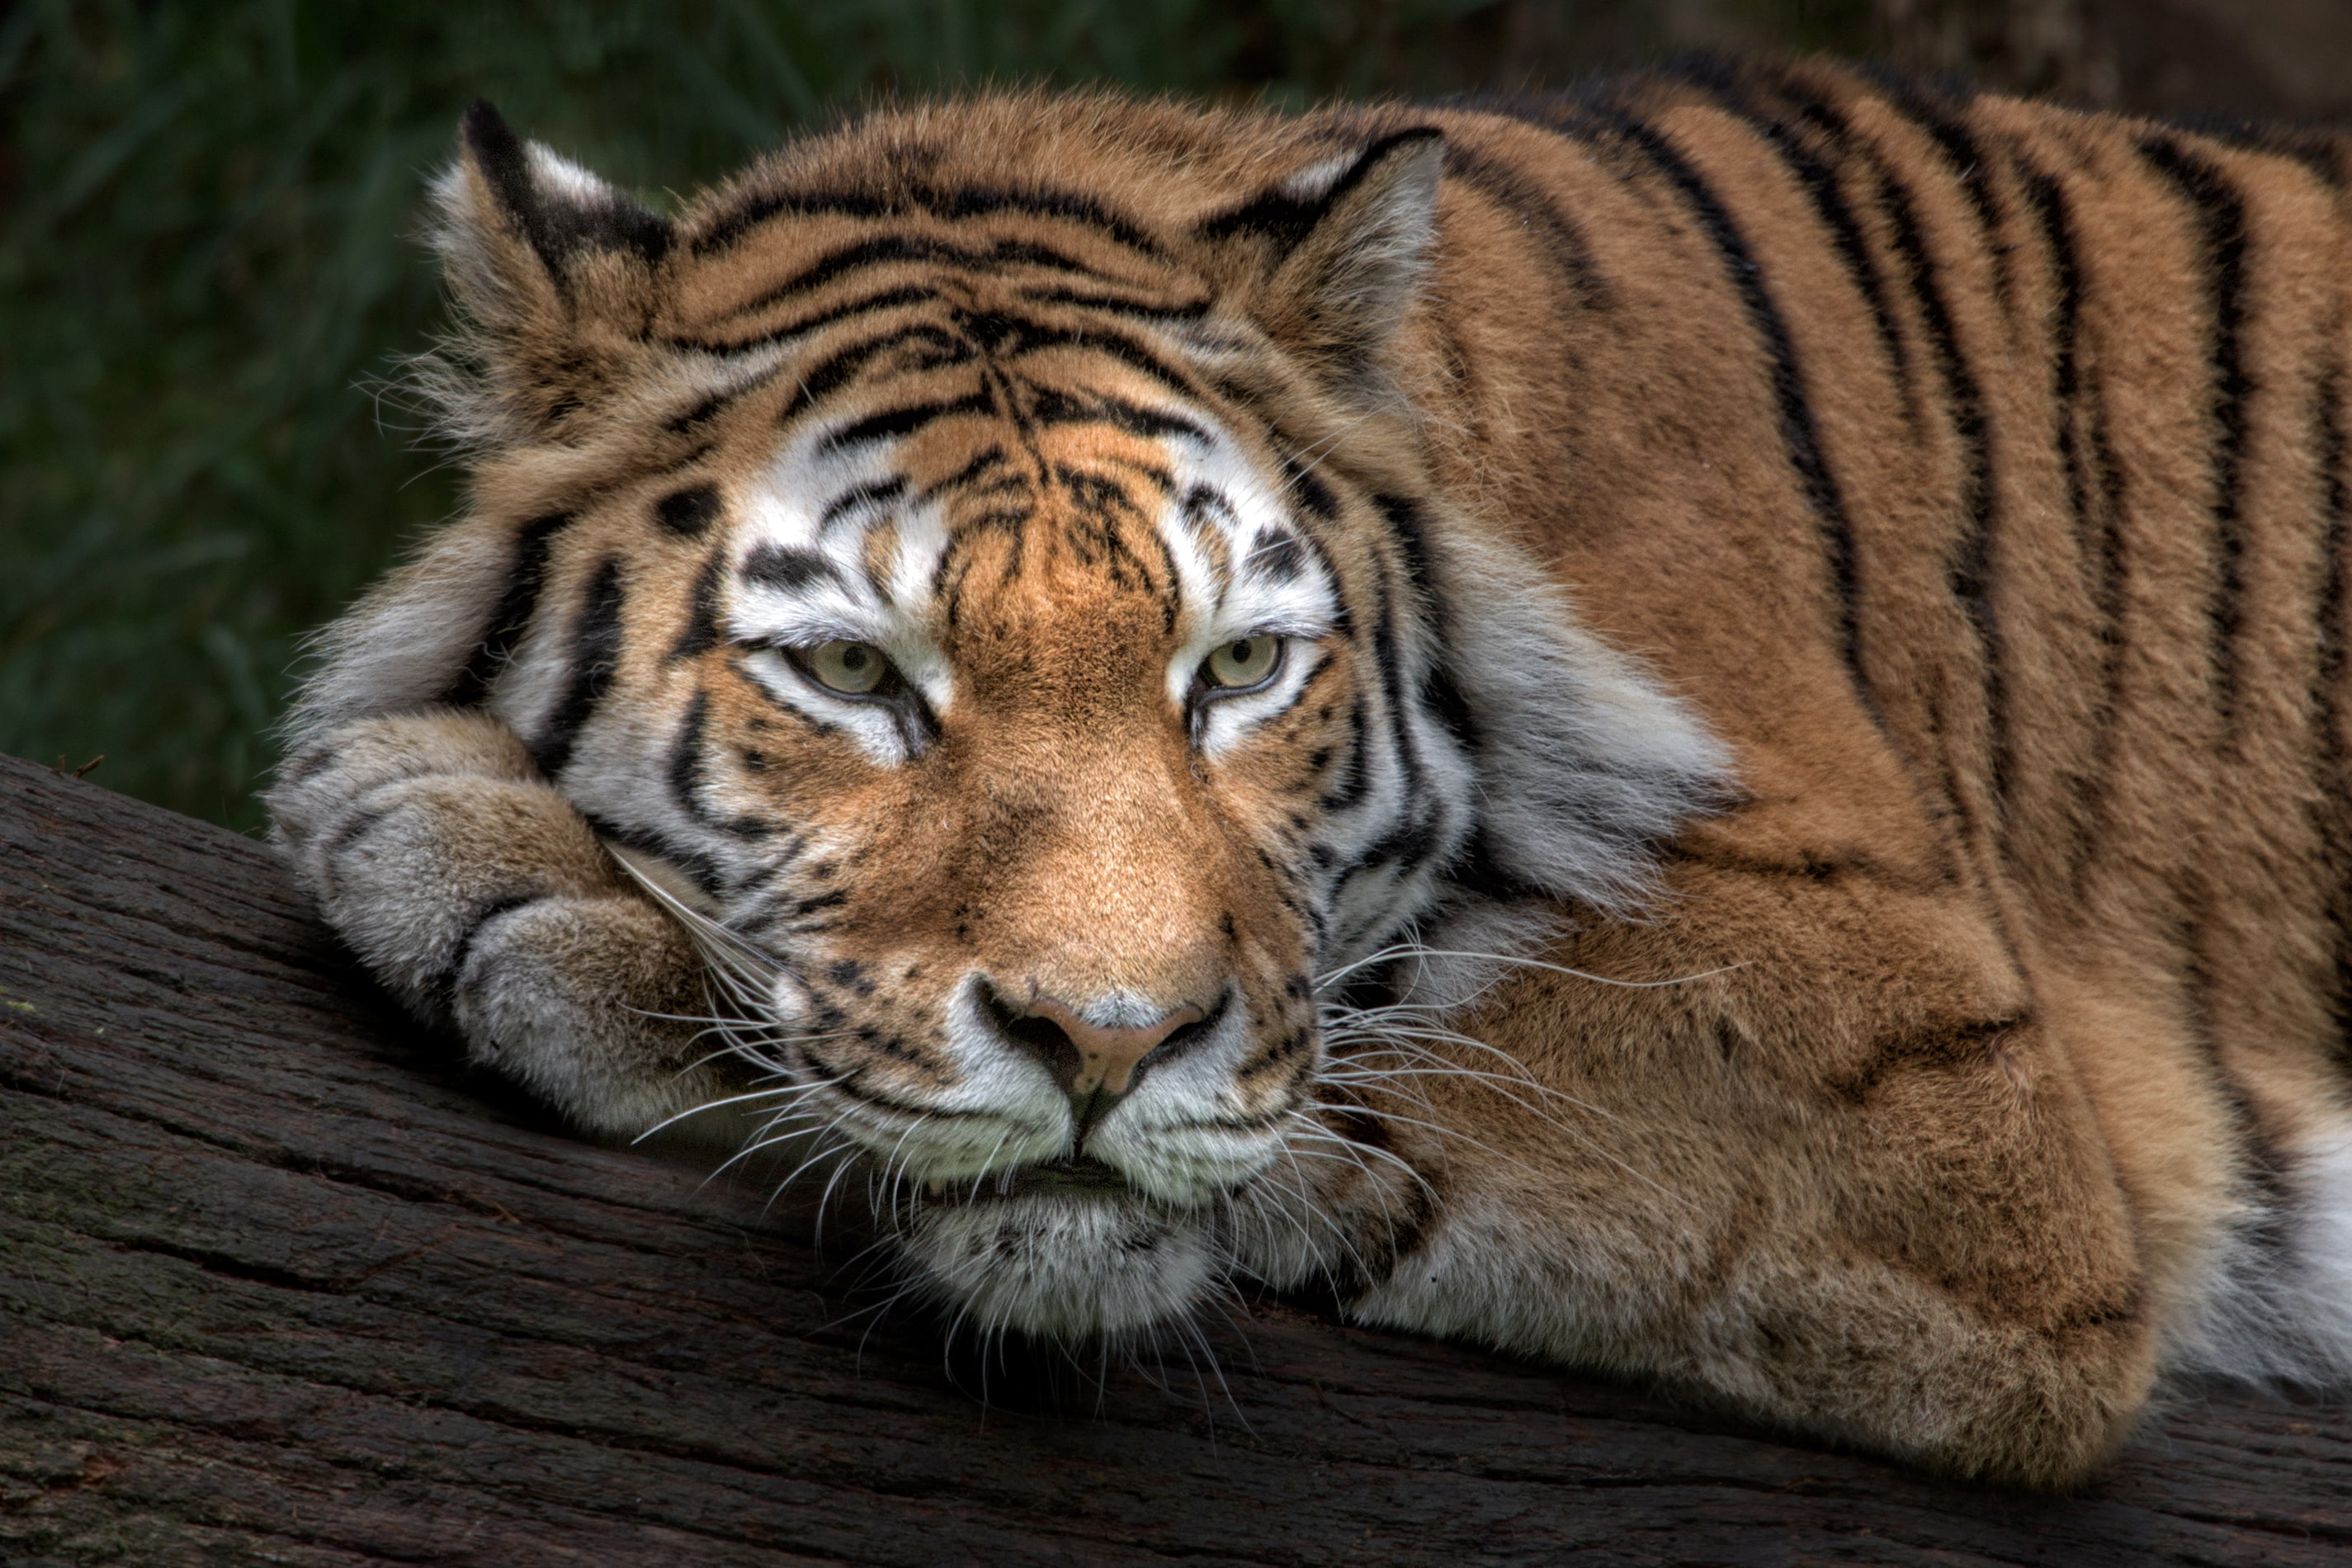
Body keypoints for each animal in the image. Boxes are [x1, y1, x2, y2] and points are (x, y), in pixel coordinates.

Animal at [266, 56, 2352, 1486]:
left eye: (1240, 669)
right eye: (855, 672)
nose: (1104, 1044)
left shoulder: (1944, 1085)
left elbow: (1413, 1064)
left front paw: (473, 857)